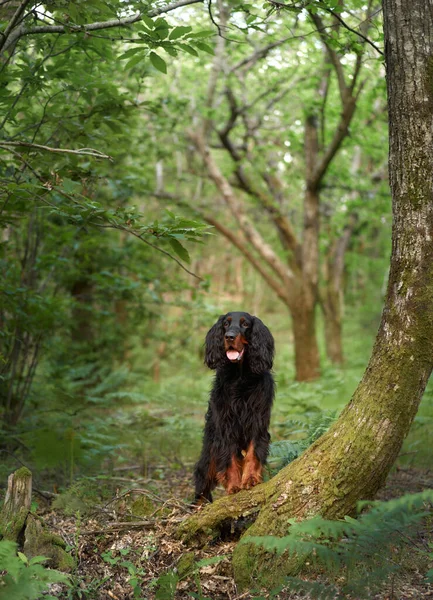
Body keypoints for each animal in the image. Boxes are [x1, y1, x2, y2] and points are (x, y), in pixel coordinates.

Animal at [193, 312, 274, 504]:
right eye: (225, 324)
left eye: (245, 324)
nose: (229, 336)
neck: (240, 376)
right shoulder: (225, 425)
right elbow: (228, 457)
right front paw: (233, 485)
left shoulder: (257, 421)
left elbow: (253, 453)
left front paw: (250, 478)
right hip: (210, 450)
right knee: (202, 481)